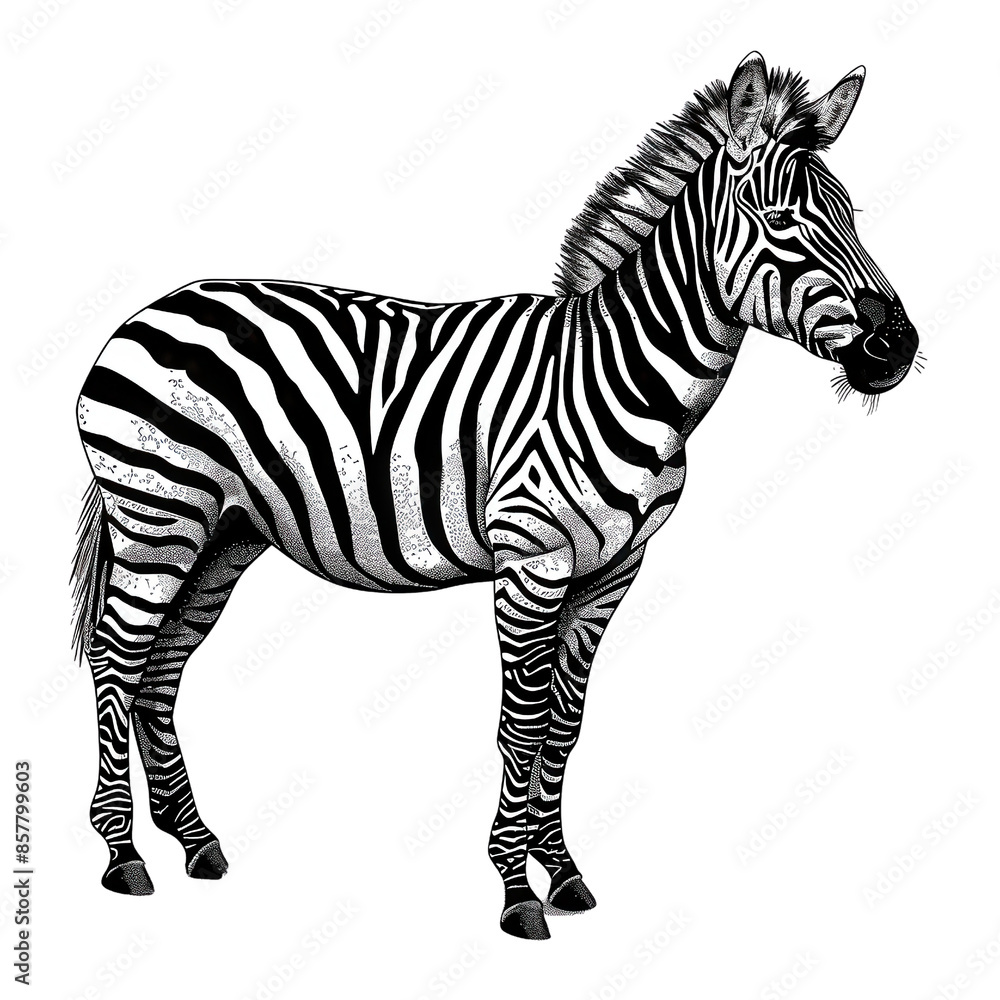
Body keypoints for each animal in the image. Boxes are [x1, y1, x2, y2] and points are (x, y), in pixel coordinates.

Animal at [72, 52, 918, 939]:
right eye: (783, 220)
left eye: (852, 215)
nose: (898, 348)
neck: (620, 375)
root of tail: (152, 308)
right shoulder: (532, 563)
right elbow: (523, 722)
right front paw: (516, 889)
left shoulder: (611, 573)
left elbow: (566, 727)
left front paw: (563, 872)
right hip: (158, 515)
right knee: (116, 659)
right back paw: (123, 854)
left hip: (225, 532)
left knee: (162, 668)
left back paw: (195, 841)